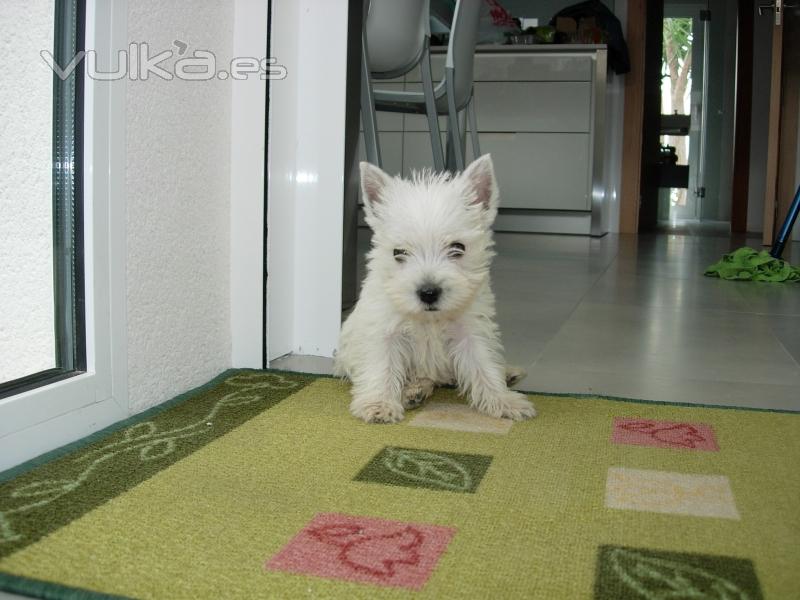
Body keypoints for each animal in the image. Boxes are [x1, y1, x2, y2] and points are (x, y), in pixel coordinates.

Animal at [332, 156, 536, 426]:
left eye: (458, 248)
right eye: (399, 252)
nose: (428, 292)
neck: (429, 320)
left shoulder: (470, 331)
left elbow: (483, 364)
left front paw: (503, 401)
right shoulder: (384, 332)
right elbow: (382, 366)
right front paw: (379, 405)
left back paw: (506, 374)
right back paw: (414, 391)